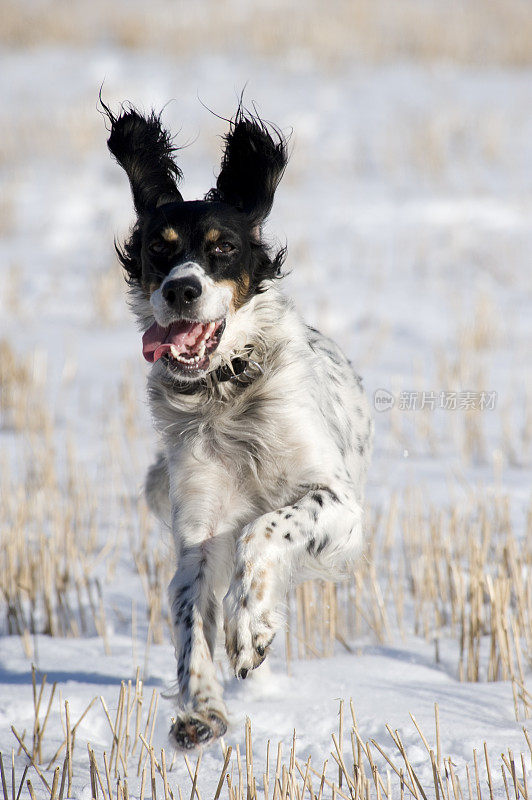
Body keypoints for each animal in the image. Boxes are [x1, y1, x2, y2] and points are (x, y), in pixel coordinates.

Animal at [102, 101, 372, 752]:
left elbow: (265, 528)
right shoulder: (198, 529)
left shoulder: (342, 510)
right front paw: (200, 710)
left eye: (223, 247)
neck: (228, 395)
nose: (181, 289)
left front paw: (250, 626)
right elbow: (188, 614)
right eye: (158, 249)